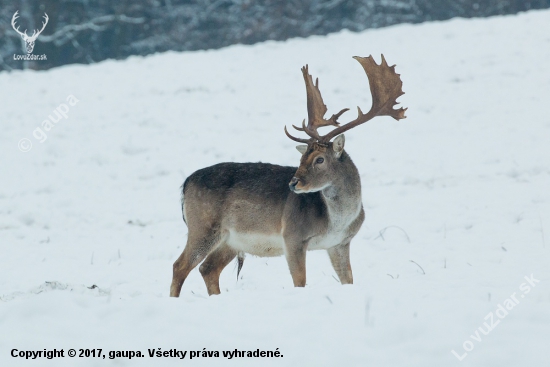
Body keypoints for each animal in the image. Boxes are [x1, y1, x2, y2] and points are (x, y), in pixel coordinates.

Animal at [170, 54, 408, 298]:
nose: (293, 183)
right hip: (202, 226)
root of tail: (185, 184)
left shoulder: (340, 243)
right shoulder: (293, 235)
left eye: (319, 159)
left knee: (208, 268)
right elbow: (300, 281)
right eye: (302, 157)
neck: (337, 221)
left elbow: (348, 280)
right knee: (180, 266)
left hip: (230, 241)